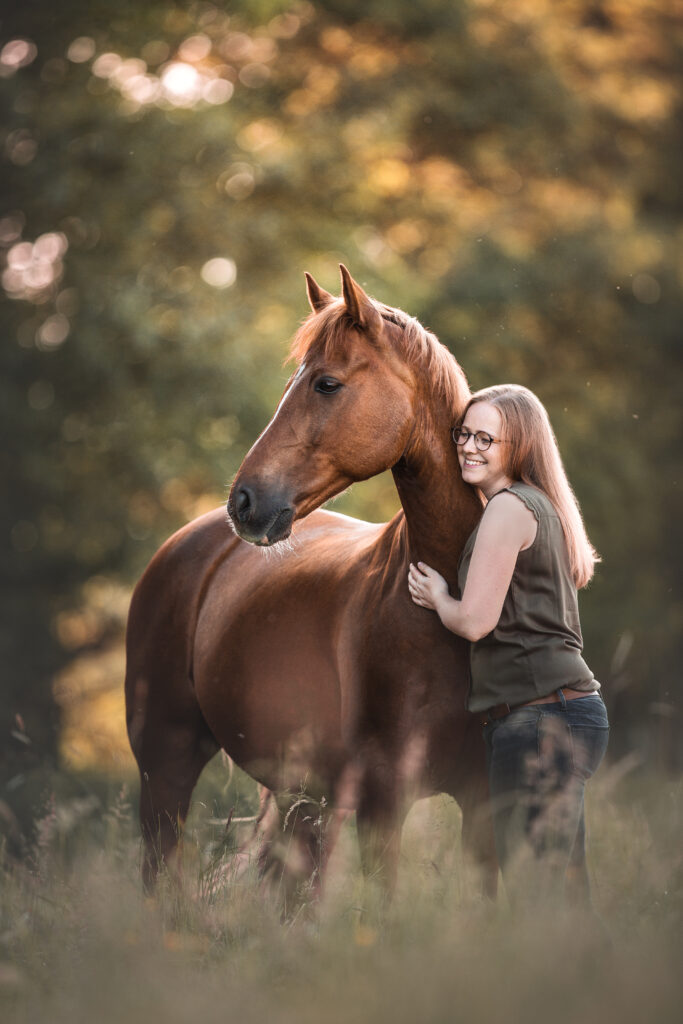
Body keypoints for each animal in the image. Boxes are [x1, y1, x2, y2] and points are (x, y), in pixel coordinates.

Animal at [124, 266, 497, 905]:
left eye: (326, 383)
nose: (244, 502)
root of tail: (190, 541)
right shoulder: (383, 800)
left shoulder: (485, 797)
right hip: (166, 764)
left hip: (307, 801)